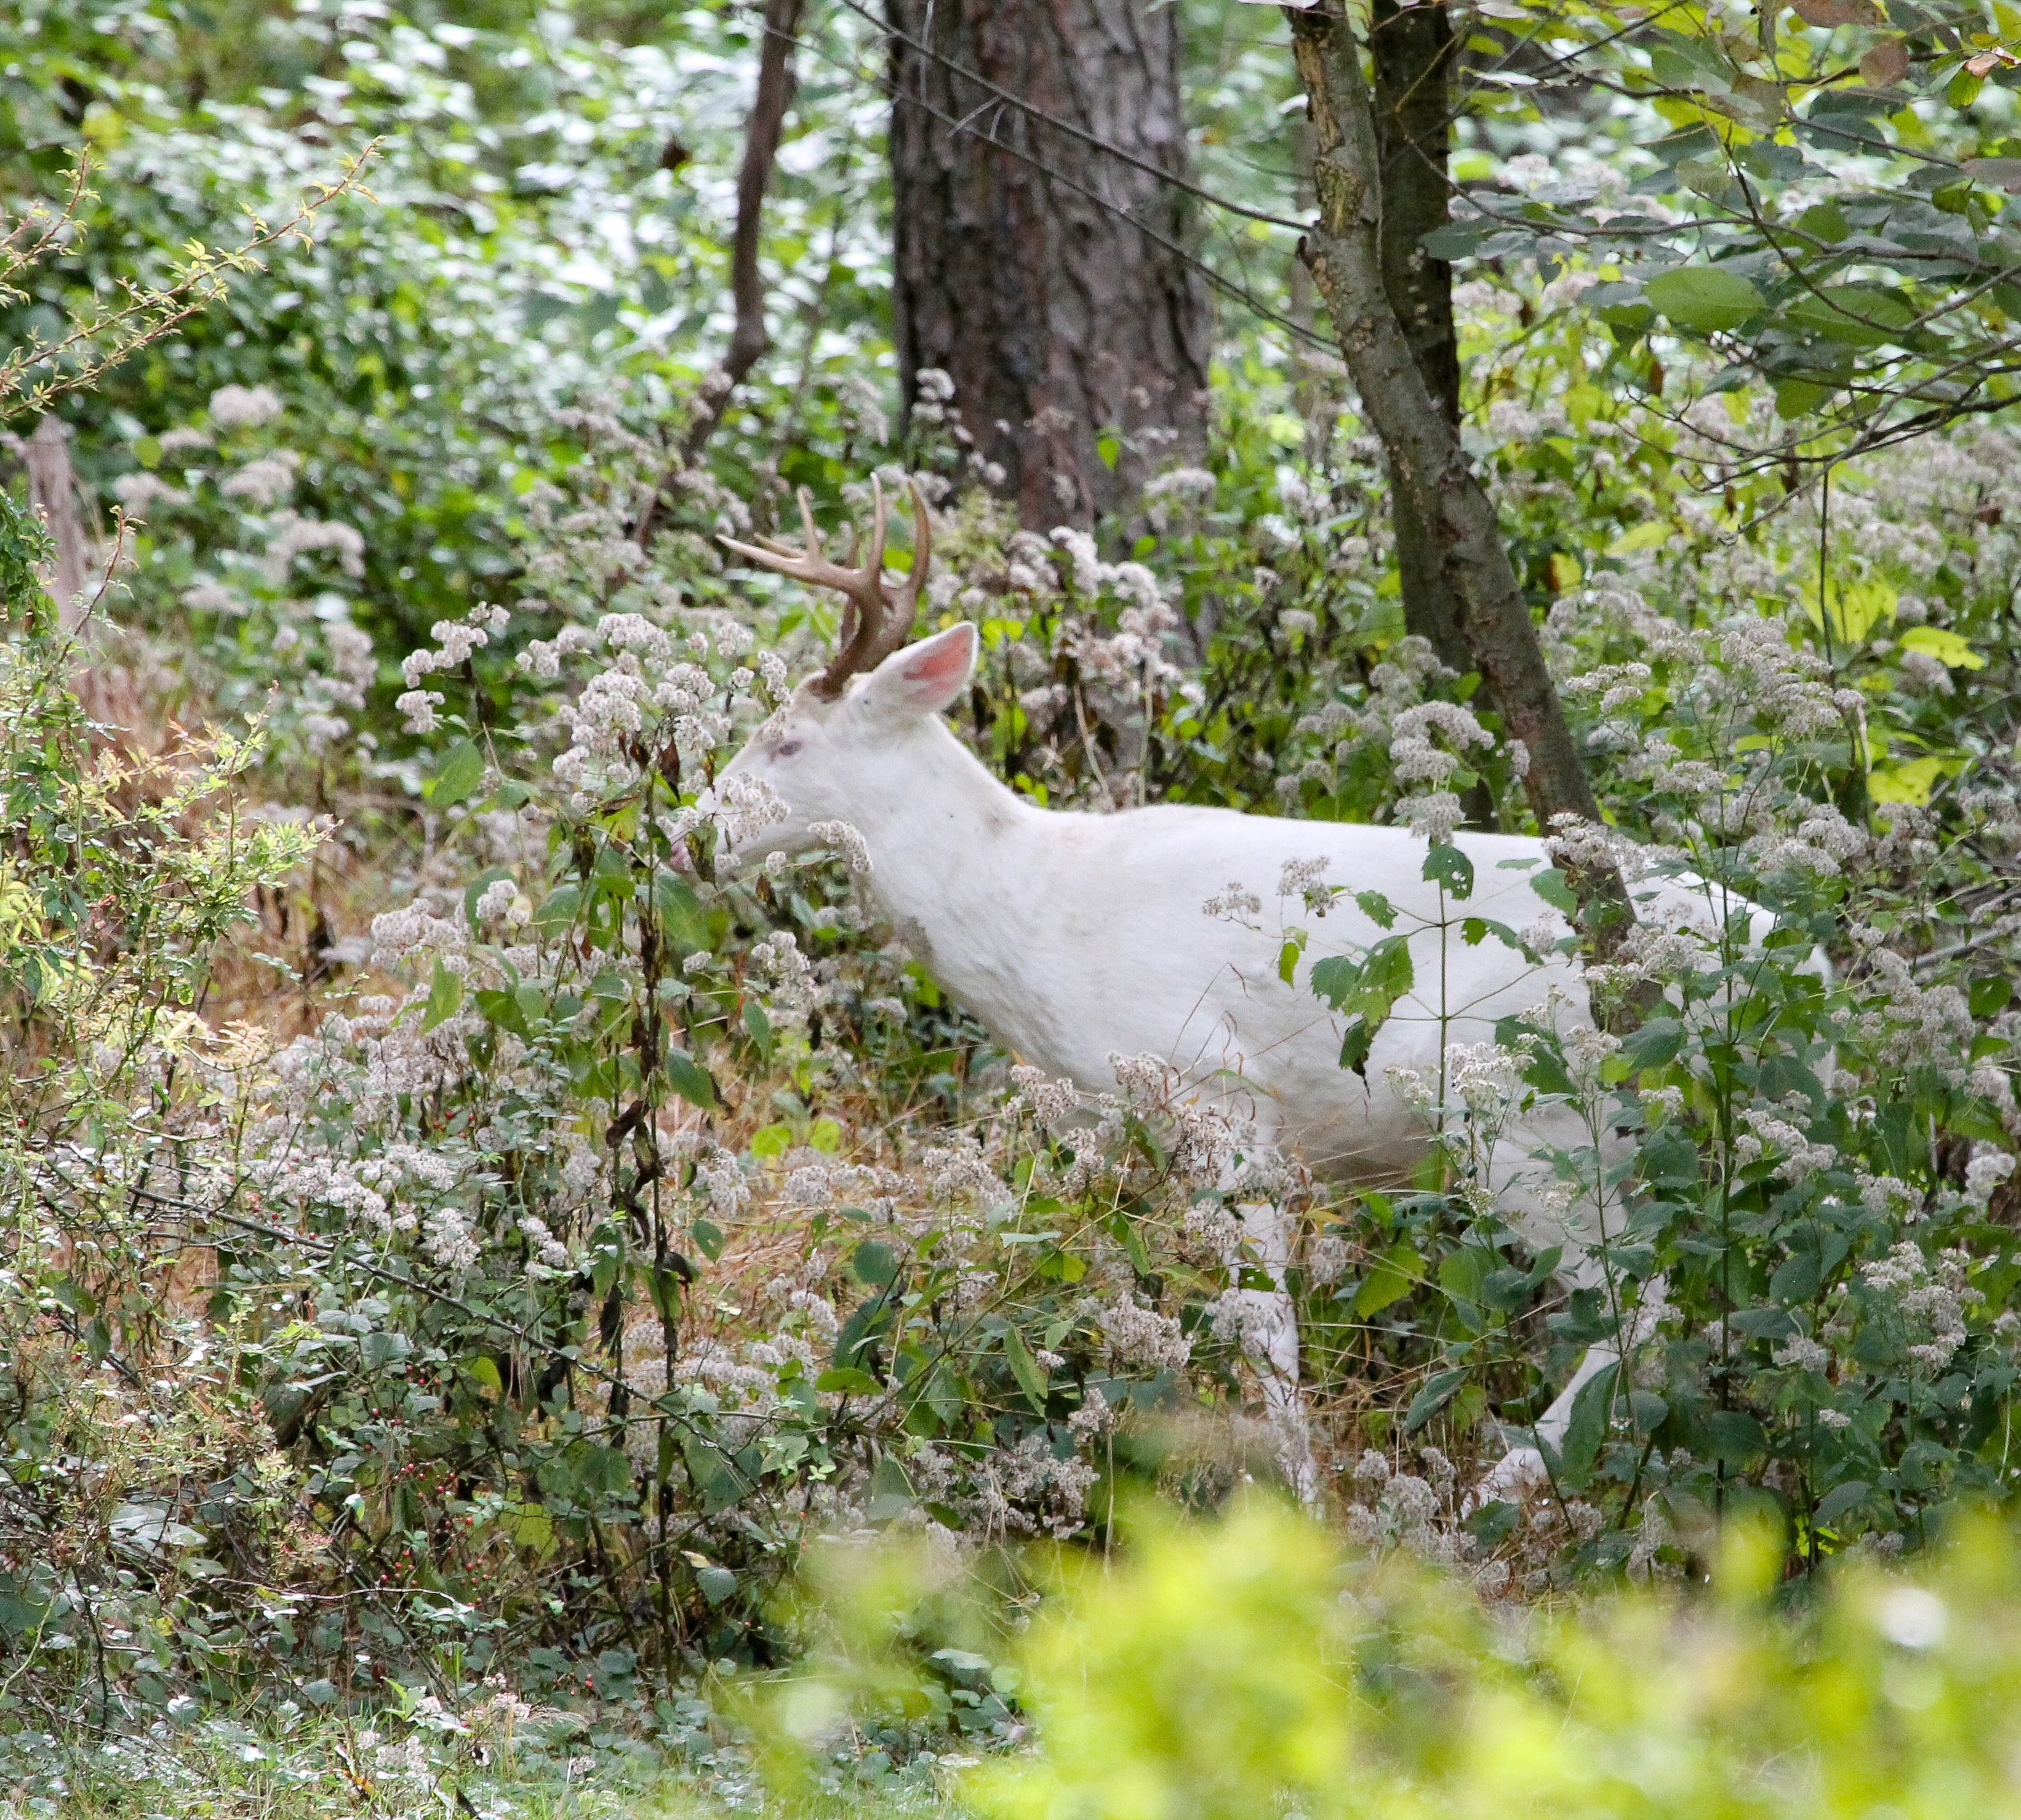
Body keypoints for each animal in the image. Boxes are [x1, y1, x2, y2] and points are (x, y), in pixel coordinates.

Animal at [723, 476, 1754, 1495]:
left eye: (787, 743)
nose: (699, 825)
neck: (1031, 909)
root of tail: (1766, 956)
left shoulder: (1221, 1092)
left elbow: (1265, 1327)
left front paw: (1297, 1496)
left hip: (1530, 1106)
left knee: (1641, 1294)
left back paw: (1503, 1485)